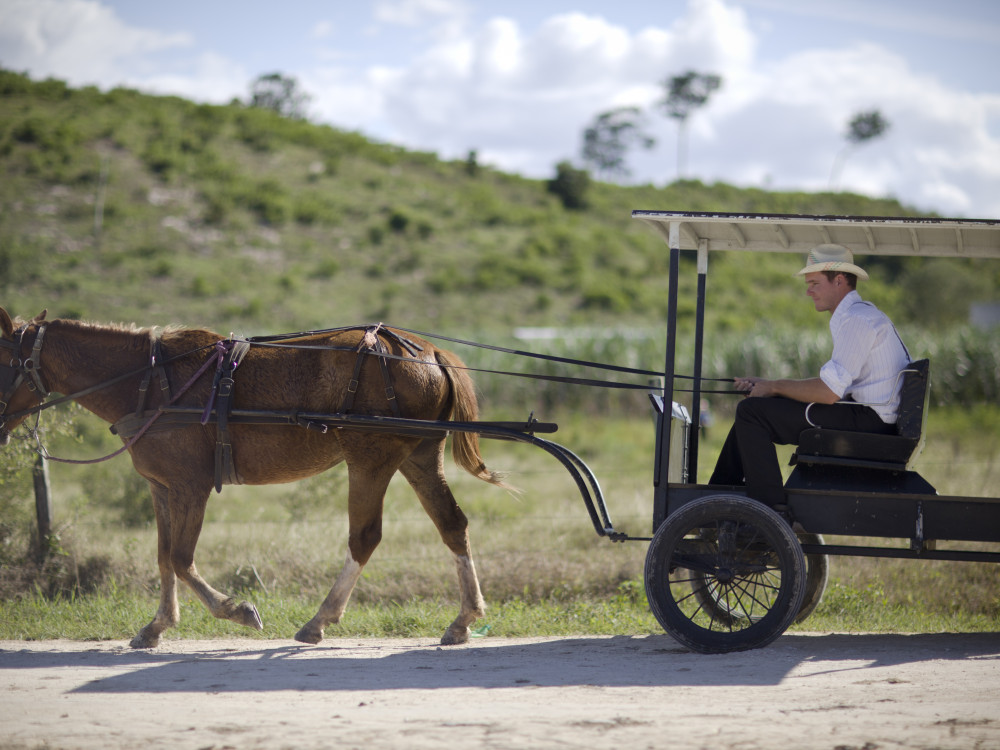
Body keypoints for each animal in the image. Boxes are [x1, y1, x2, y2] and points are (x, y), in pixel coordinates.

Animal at [0, 306, 507, 648]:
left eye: (3, 362)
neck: (148, 381)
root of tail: (428, 351)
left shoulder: (190, 487)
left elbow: (182, 559)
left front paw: (236, 609)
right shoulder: (161, 488)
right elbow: (163, 558)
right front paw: (157, 625)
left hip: (370, 458)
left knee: (364, 537)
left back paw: (319, 619)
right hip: (418, 456)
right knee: (452, 526)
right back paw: (464, 619)